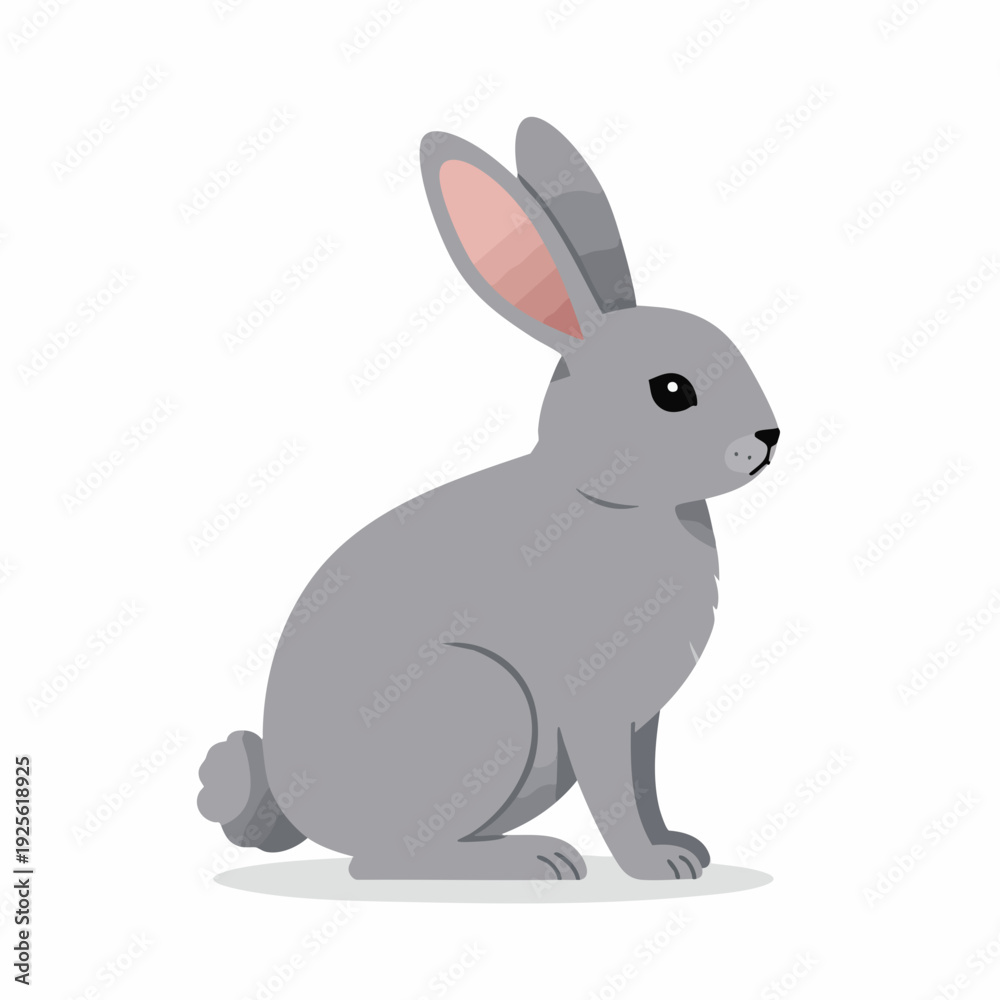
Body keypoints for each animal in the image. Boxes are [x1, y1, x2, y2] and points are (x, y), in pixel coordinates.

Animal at [197, 117, 780, 881]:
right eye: (672, 391)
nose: (767, 438)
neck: (609, 500)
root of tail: (297, 805)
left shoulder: (641, 721)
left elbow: (644, 788)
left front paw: (683, 850)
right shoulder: (593, 709)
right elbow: (615, 795)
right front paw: (654, 868)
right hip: (487, 702)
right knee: (382, 863)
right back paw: (537, 861)